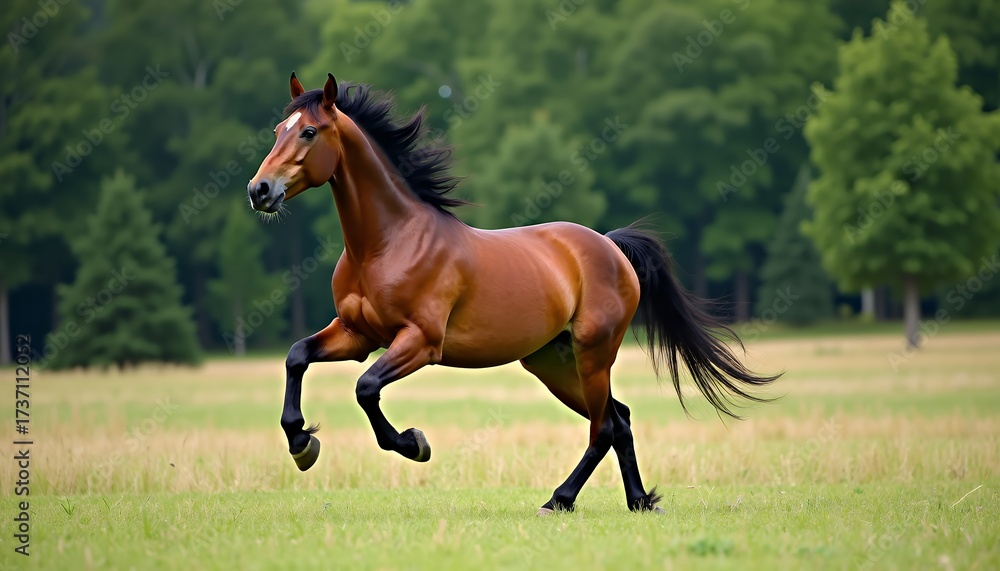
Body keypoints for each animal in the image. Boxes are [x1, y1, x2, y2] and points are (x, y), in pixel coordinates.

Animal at [247, 72, 779, 514]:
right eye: (276, 129)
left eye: (308, 132)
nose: (259, 190)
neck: (386, 243)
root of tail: (610, 245)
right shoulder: (357, 335)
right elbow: (297, 356)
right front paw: (301, 444)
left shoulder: (420, 342)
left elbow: (366, 388)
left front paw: (414, 443)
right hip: (553, 363)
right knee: (620, 420)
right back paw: (637, 501)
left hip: (593, 354)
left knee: (604, 427)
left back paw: (559, 499)